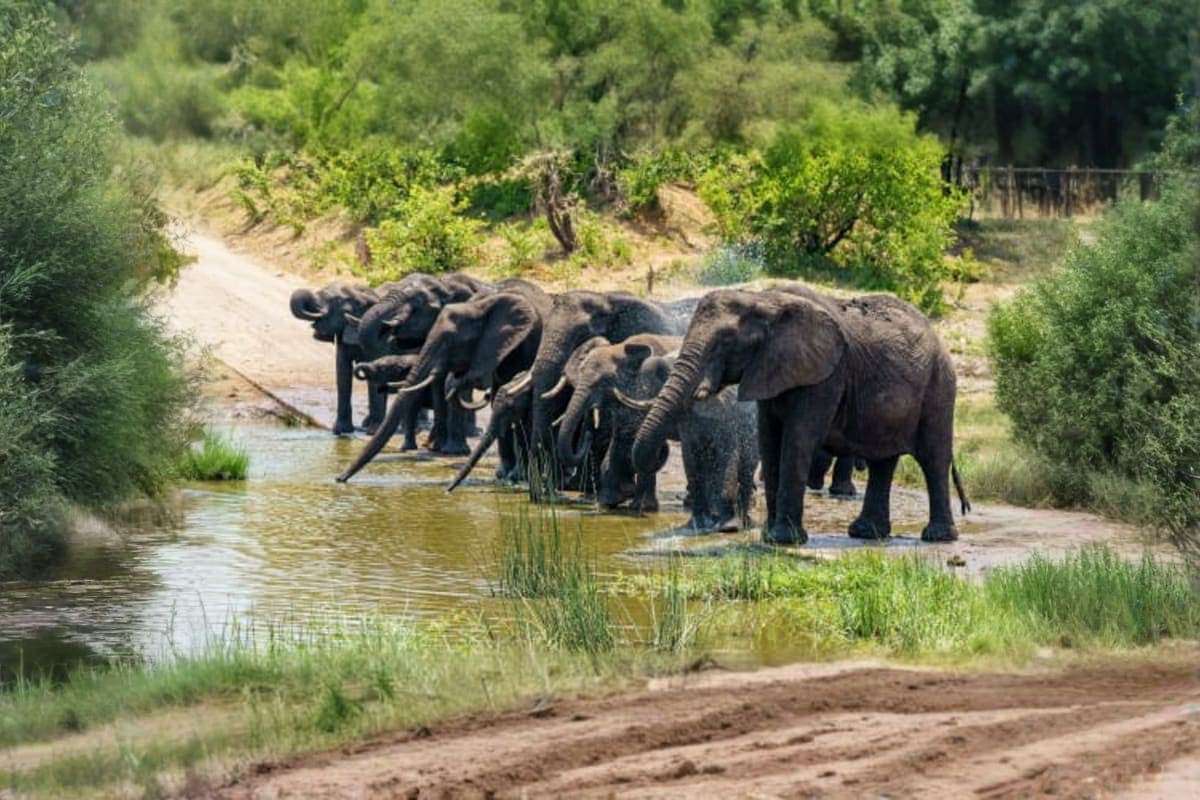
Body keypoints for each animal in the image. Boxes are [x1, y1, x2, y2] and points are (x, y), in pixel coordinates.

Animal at [632, 285, 970, 545]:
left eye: (726, 341)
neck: (763, 300)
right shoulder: (770, 369)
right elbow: (769, 440)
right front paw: (769, 537)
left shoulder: (825, 376)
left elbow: (798, 439)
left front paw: (784, 540)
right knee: (882, 461)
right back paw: (867, 534)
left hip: (939, 387)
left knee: (933, 458)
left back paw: (937, 537)